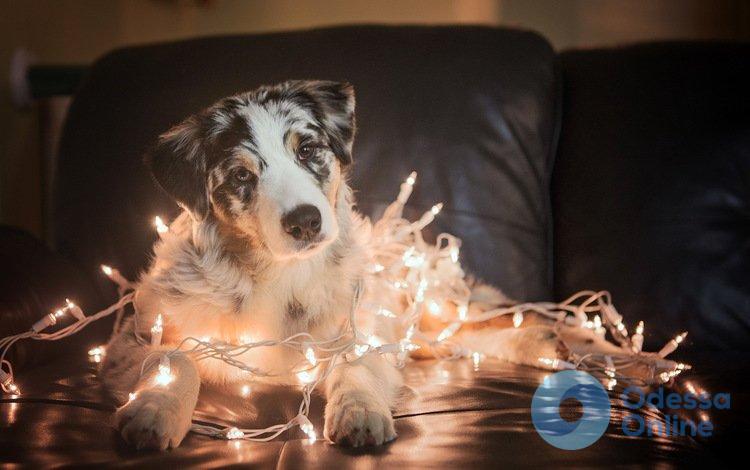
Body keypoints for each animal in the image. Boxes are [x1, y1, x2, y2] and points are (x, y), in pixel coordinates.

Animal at [100, 81, 576, 452]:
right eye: (241, 176)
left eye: (308, 150)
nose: (305, 221)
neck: (282, 274)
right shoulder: (140, 333)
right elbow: (176, 359)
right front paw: (154, 411)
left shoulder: (365, 327)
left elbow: (353, 362)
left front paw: (359, 412)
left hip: (427, 302)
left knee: (481, 321)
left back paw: (551, 343)